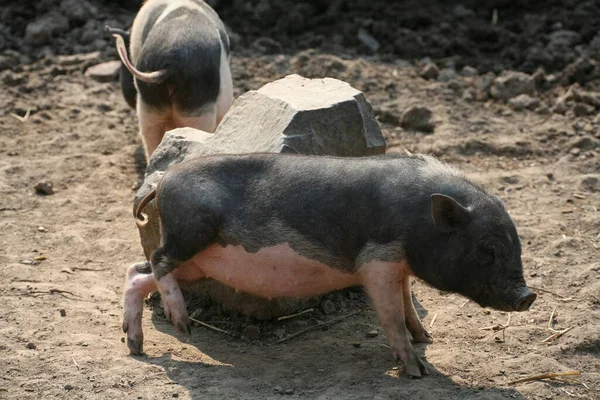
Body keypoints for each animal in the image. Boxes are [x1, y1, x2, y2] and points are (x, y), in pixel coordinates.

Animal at [124, 153, 536, 378]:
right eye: (487, 249)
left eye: (516, 244)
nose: (528, 296)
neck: (418, 219)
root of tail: (163, 181)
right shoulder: (377, 262)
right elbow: (390, 315)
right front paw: (416, 371)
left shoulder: (399, 268)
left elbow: (406, 304)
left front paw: (426, 338)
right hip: (190, 231)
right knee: (157, 261)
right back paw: (183, 326)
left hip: (198, 262)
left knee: (136, 273)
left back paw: (135, 346)